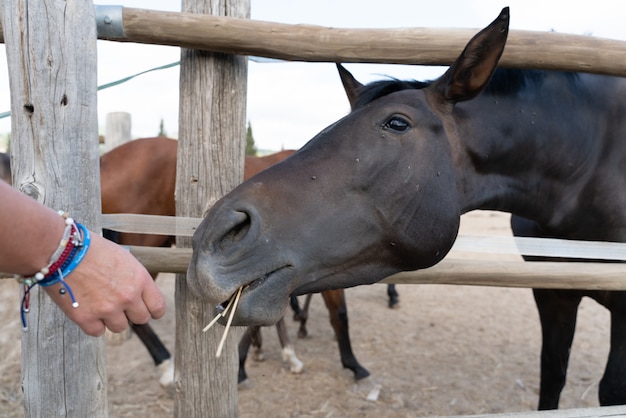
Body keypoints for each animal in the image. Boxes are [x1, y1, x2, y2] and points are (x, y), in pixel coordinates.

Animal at [188, 7, 624, 412]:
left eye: (397, 123)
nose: (214, 235)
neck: (590, 162)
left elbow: (607, 390)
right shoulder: (553, 292)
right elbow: (552, 376)